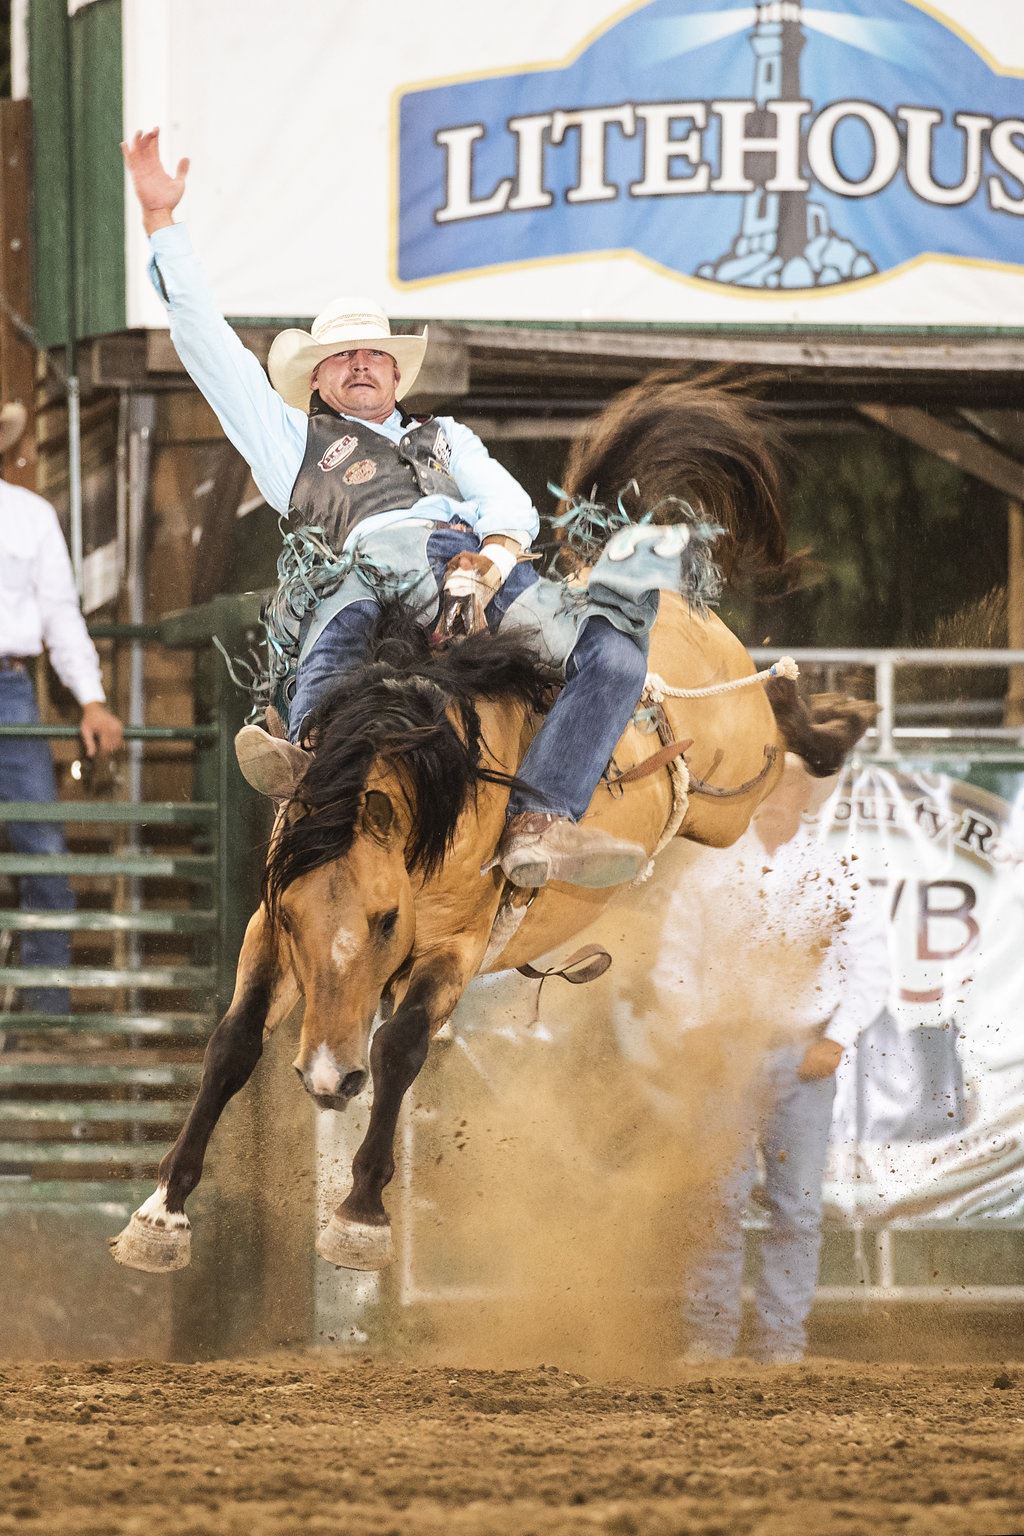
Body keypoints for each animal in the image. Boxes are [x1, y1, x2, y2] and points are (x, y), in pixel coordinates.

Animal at [110, 371, 872, 1271]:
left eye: (385, 921)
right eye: (299, 919)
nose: (327, 1081)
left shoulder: (460, 945)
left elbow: (398, 1046)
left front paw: (360, 1215)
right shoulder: (270, 920)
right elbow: (232, 1042)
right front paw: (160, 1212)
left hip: (734, 785)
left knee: (773, 710)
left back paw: (839, 723)